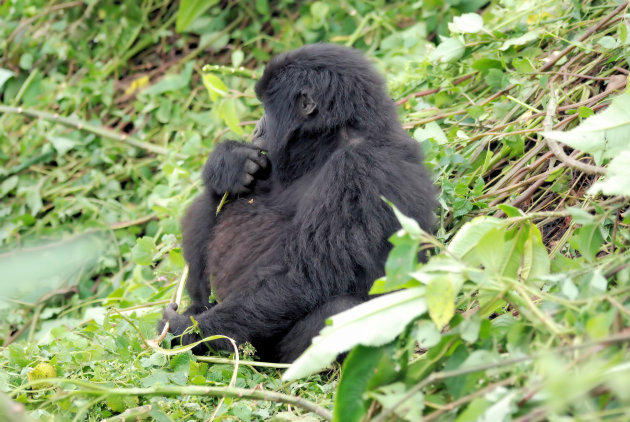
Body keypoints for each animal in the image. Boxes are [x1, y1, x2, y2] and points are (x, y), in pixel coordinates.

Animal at [158, 43, 436, 362]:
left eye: (267, 108)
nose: (256, 128)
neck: (331, 139)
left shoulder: (357, 166)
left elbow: (302, 278)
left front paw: (185, 331)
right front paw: (228, 163)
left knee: (338, 309)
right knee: (209, 204)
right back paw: (198, 306)